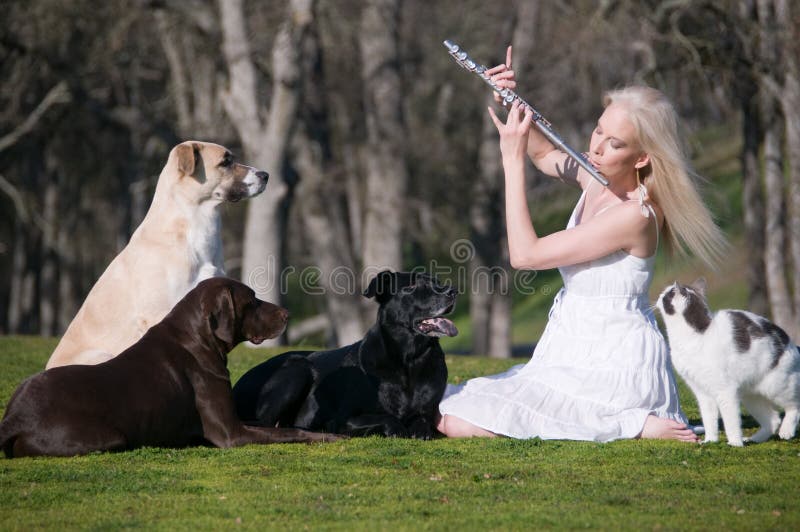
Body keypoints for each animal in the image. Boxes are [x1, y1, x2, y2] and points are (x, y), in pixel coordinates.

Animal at [0, 278, 338, 458]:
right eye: (252, 300)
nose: (287, 314)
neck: (197, 339)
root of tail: (15, 416)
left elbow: (280, 426)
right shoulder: (231, 434)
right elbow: (291, 432)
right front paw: (330, 437)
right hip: (108, 436)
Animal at [233, 272, 456, 438]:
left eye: (436, 282)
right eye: (411, 286)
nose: (452, 291)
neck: (407, 360)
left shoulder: (428, 411)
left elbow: (422, 420)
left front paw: (420, 429)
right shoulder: (344, 419)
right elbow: (386, 418)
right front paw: (398, 428)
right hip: (297, 368)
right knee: (265, 422)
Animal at [656, 280, 800, 446]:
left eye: (666, 294)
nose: (659, 295)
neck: (696, 335)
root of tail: (791, 342)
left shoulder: (725, 391)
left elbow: (730, 421)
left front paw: (735, 444)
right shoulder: (702, 392)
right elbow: (709, 419)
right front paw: (710, 440)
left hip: (776, 386)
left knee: (794, 406)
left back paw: (786, 431)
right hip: (751, 396)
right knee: (773, 419)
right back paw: (754, 439)